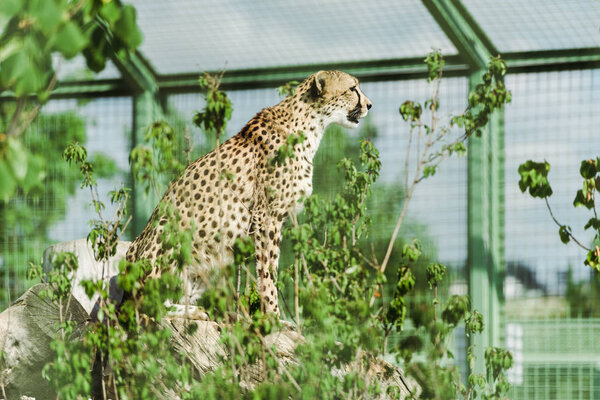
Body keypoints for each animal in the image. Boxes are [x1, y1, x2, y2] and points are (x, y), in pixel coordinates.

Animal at [125, 71, 370, 316]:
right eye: (352, 89)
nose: (369, 105)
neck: (309, 125)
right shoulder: (267, 215)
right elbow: (268, 270)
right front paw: (273, 314)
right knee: (149, 306)